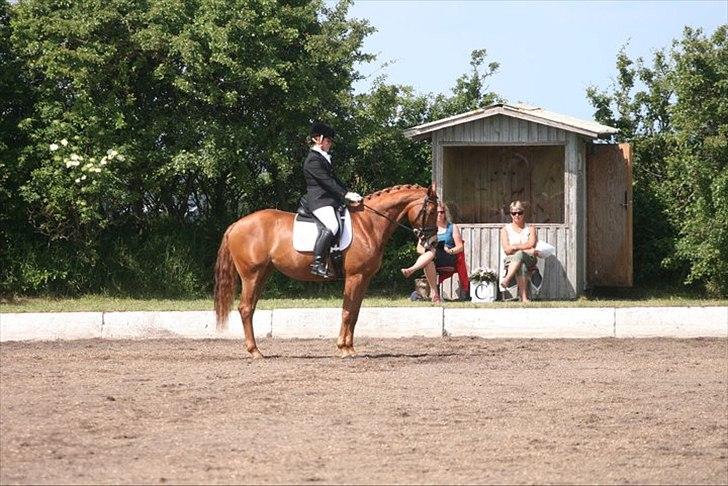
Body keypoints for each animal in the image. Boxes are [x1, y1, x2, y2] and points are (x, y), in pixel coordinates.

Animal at [212, 184, 438, 358]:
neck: (368, 224)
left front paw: (350, 348)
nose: (433, 242)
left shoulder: (364, 278)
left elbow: (355, 313)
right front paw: (344, 349)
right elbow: (347, 312)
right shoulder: (354, 277)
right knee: (245, 309)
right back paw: (255, 351)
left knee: (250, 308)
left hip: (262, 275)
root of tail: (236, 225)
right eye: (433, 212)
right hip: (251, 275)